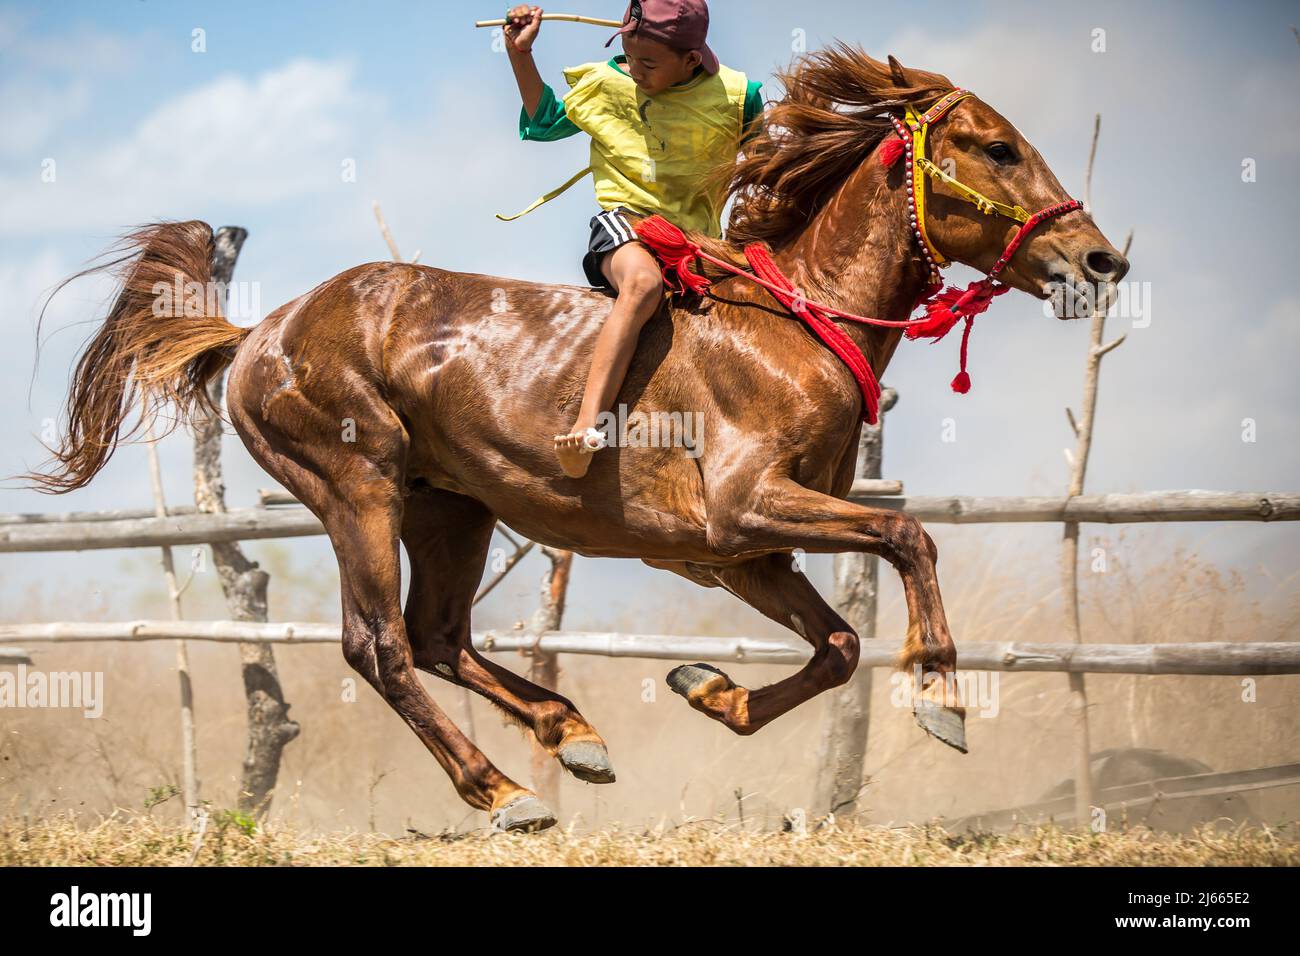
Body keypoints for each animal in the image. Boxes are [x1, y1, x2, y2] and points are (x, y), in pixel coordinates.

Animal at [30, 48, 1128, 832]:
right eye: (995, 146)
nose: (1099, 259)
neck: (790, 324)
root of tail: (260, 330)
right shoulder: (745, 509)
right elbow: (910, 539)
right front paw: (942, 696)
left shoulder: (741, 553)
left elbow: (840, 643)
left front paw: (711, 692)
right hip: (357, 487)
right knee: (379, 645)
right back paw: (503, 789)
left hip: (449, 506)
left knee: (439, 635)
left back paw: (576, 735)